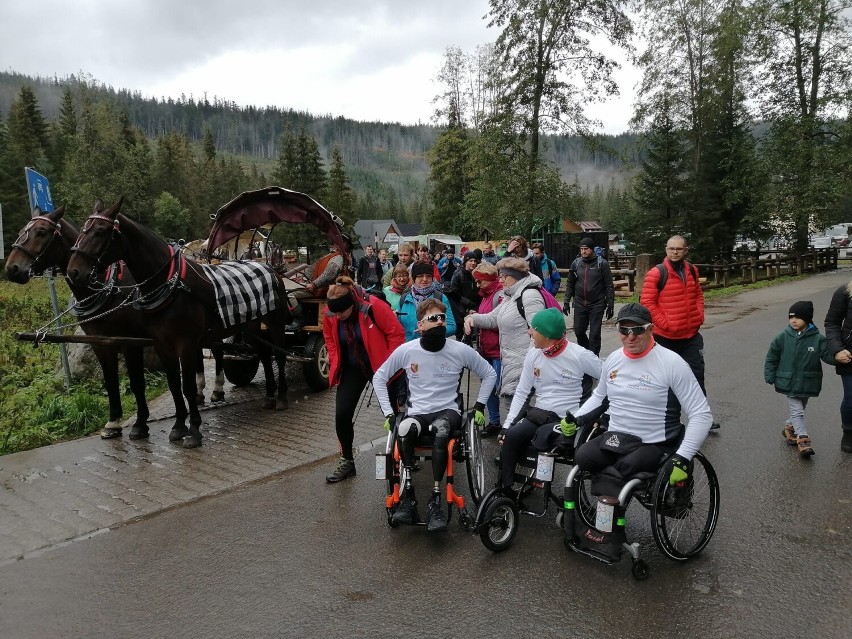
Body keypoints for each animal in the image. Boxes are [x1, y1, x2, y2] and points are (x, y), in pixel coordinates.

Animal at [65, 198, 290, 448]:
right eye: (82, 230)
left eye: (101, 231)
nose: (73, 271)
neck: (171, 285)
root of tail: (269, 267)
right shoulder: (162, 344)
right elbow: (174, 384)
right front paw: (179, 426)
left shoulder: (186, 343)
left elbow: (188, 386)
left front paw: (194, 430)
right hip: (250, 326)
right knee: (264, 354)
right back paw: (269, 394)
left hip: (275, 322)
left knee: (280, 355)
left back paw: (281, 396)